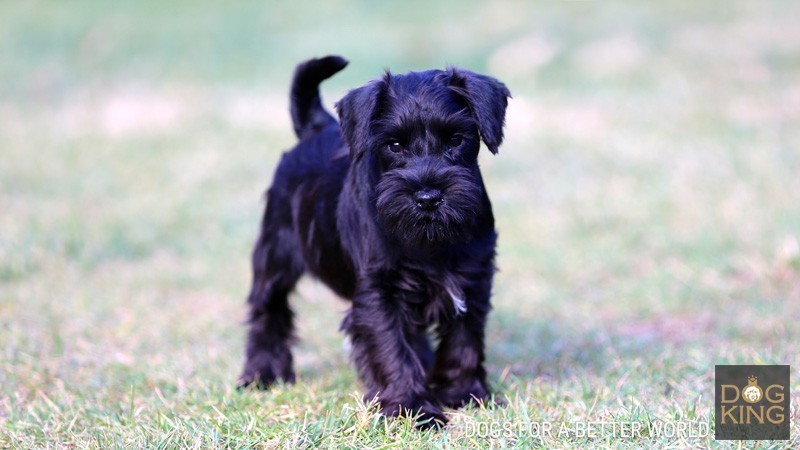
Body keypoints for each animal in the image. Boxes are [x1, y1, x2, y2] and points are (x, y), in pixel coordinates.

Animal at [239, 56, 512, 426]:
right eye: (394, 144)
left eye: (456, 139)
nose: (428, 197)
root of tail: (317, 127)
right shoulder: (378, 293)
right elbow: (391, 348)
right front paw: (412, 408)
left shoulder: (472, 279)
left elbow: (464, 341)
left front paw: (464, 394)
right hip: (275, 255)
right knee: (267, 309)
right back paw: (262, 374)